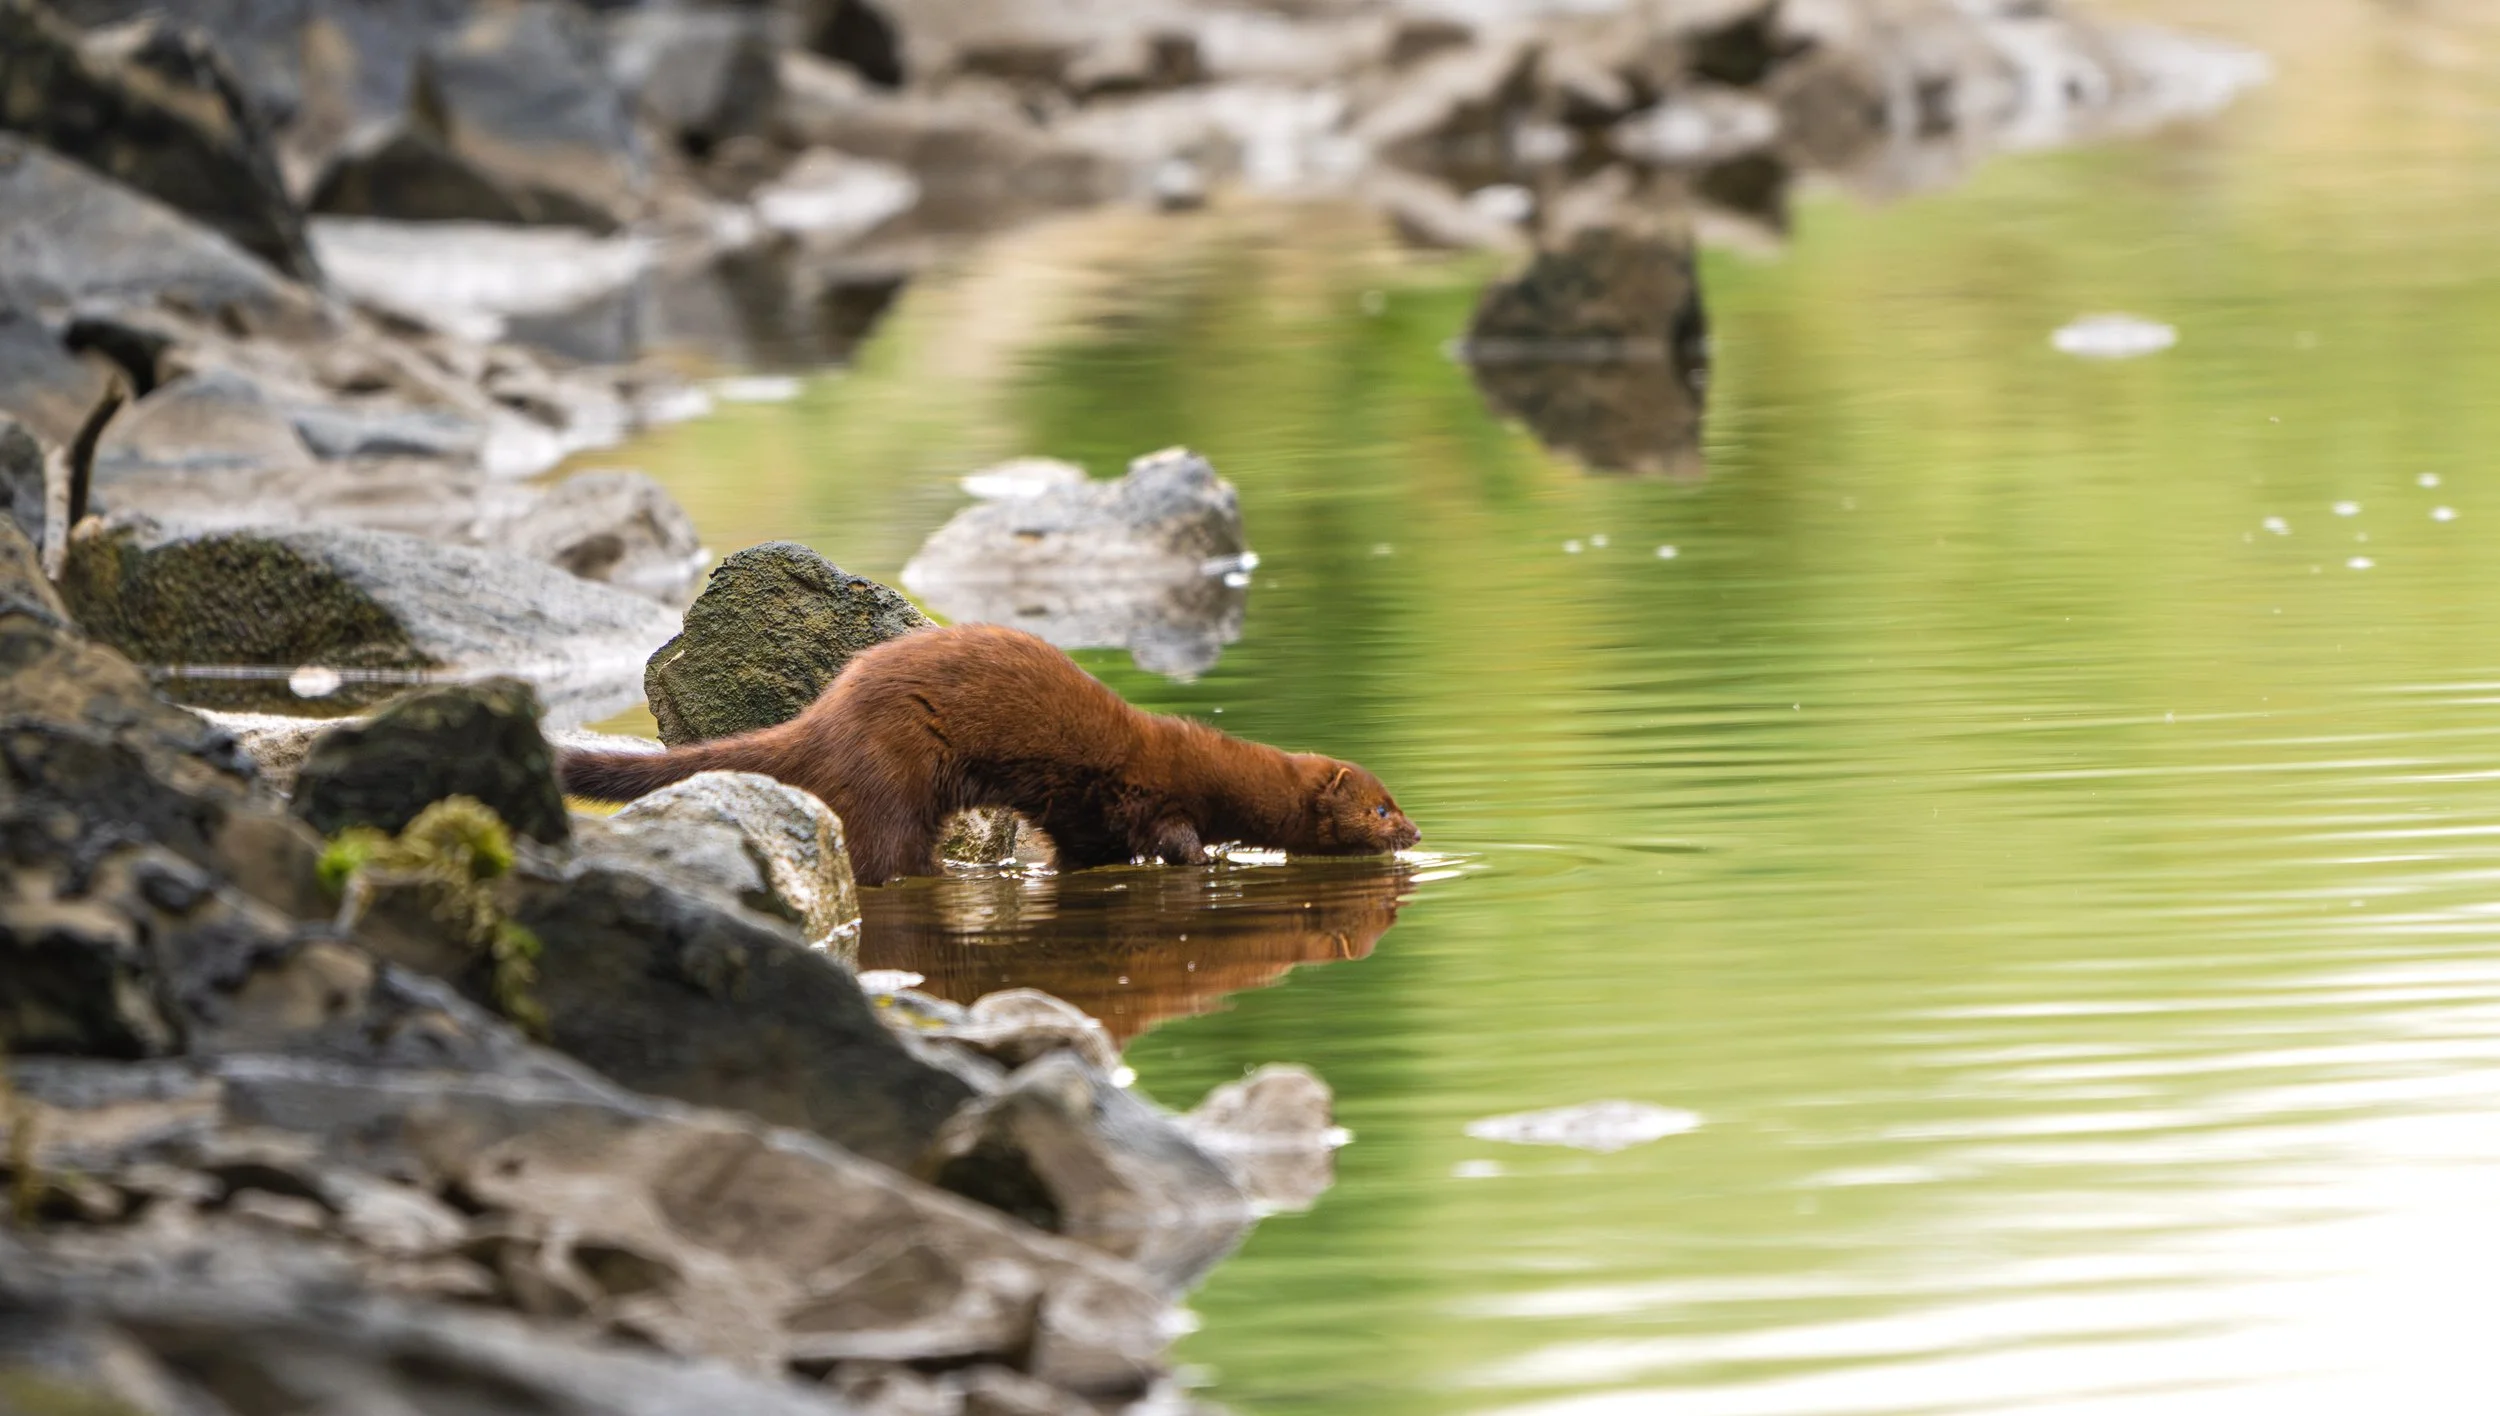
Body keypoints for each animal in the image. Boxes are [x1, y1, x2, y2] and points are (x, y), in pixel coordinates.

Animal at [559, 624, 1420, 885]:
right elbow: (1171, 837)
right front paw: (1206, 860)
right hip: (892, 775)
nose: (1416, 832)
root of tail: (827, 711)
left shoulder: (1082, 814)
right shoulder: (1149, 792)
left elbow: (1083, 846)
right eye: (1382, 807)